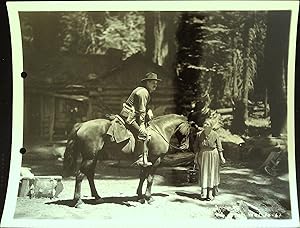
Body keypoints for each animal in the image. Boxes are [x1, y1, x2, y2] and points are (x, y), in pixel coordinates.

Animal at [62, 113, 191, 207]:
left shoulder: (146, 162)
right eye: (189, 130)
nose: (186, 147)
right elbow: (150, 179)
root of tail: (82, 125)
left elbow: (142, 177)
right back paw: (78, 201)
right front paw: (148, 197)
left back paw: (97, 197)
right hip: (89, 158)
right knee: (79, 175)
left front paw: (140, 196)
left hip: (93, 158)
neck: (160, 130)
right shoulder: (156, 160)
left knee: (90, 175)